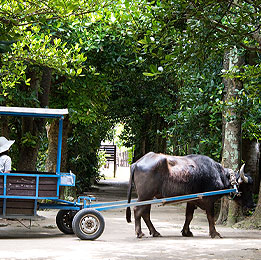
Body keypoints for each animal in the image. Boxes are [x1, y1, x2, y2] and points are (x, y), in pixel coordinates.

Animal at [125, 151, 253, 239]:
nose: (252, 205)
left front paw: (186, 232)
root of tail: (136, 163)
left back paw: (155, 232)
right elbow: (210, 217)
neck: (218, 175)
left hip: (149, 197)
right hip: (145, 196)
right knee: (137, 210)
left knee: (145, 213)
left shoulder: (192, 200)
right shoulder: (209, 201)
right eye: (246, 187)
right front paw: (215, 233)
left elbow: (189, 216)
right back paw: (139, 233)